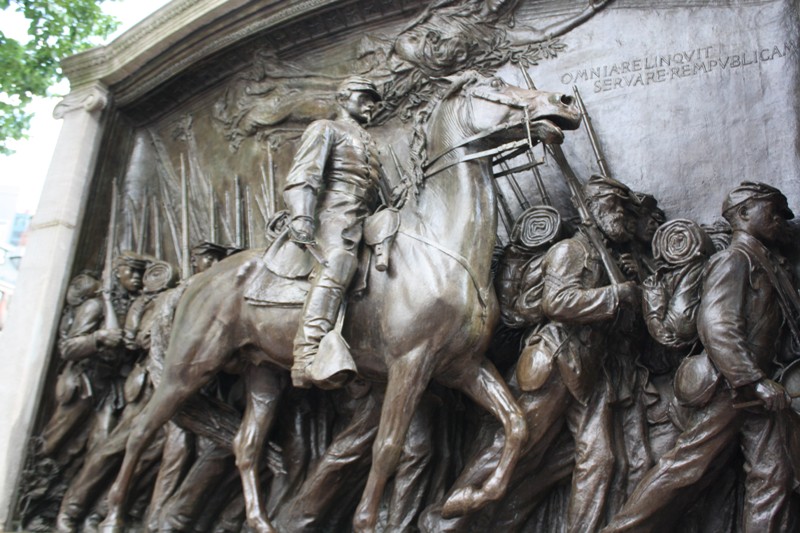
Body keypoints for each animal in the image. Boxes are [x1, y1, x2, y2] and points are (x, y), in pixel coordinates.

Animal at [98, 71, 580, 532]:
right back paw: (113, 515)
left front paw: (465, 499)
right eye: (495, 84)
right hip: (188, 369)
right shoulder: (410, 365)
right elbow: (387, 448)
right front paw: (368, 522)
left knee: (245, 443)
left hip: (263, 374)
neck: (441, 243)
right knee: (142, 431)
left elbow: (515, 421)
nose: (565, 102)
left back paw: (261, 521)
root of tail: (195, 282)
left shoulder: (463, 365)